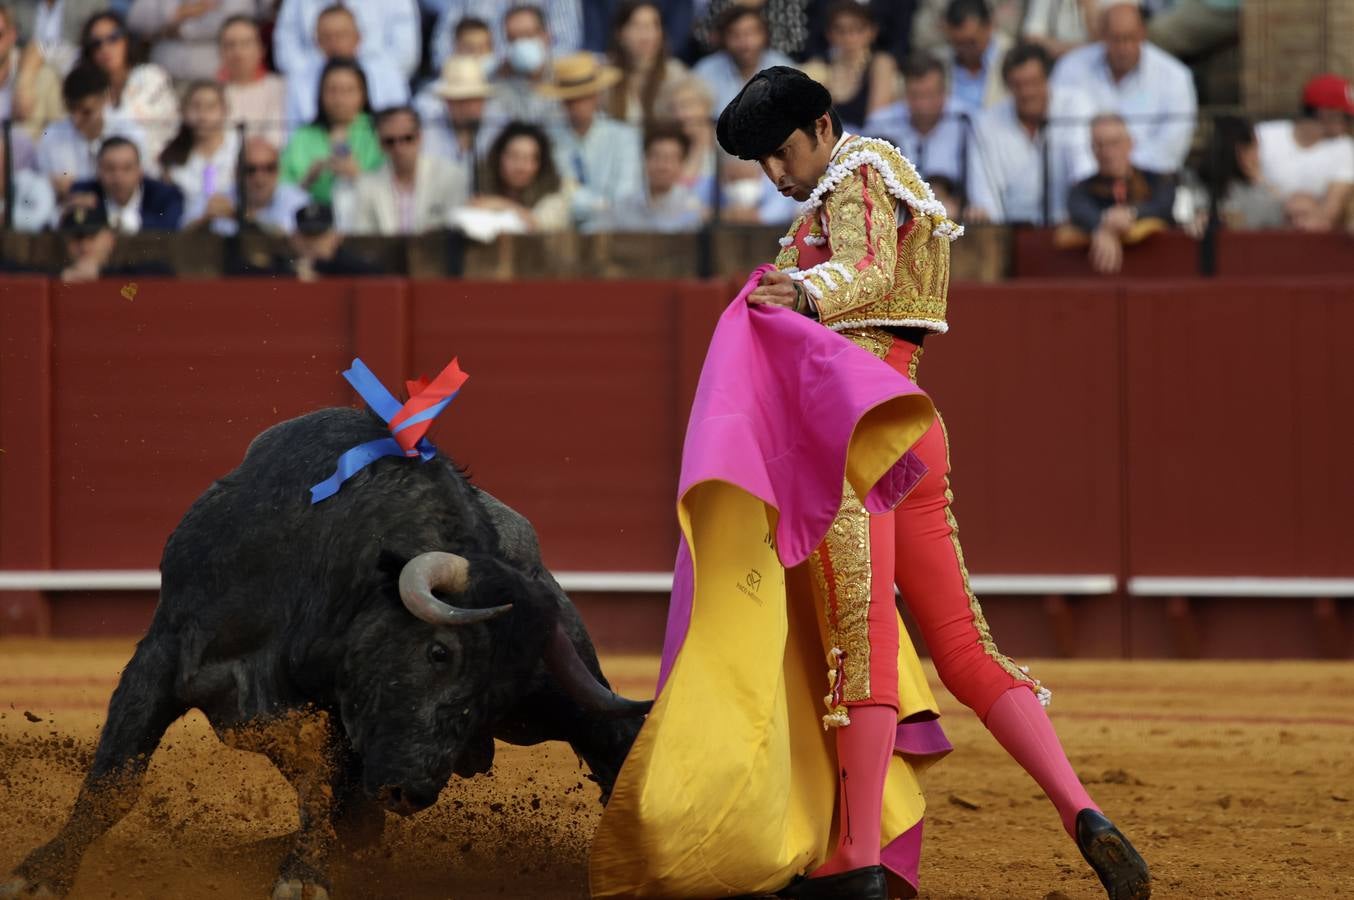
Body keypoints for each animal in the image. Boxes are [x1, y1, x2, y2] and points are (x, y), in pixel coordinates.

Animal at [0, 408, 655, 898]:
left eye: (496, 696)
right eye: (438, 652)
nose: (412, 792)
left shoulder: (329, 715)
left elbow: (325, 788)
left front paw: (301, 877)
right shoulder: (164, 655)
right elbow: (116, 779)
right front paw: (41, 875)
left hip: (563, 695)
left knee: (615, 742)